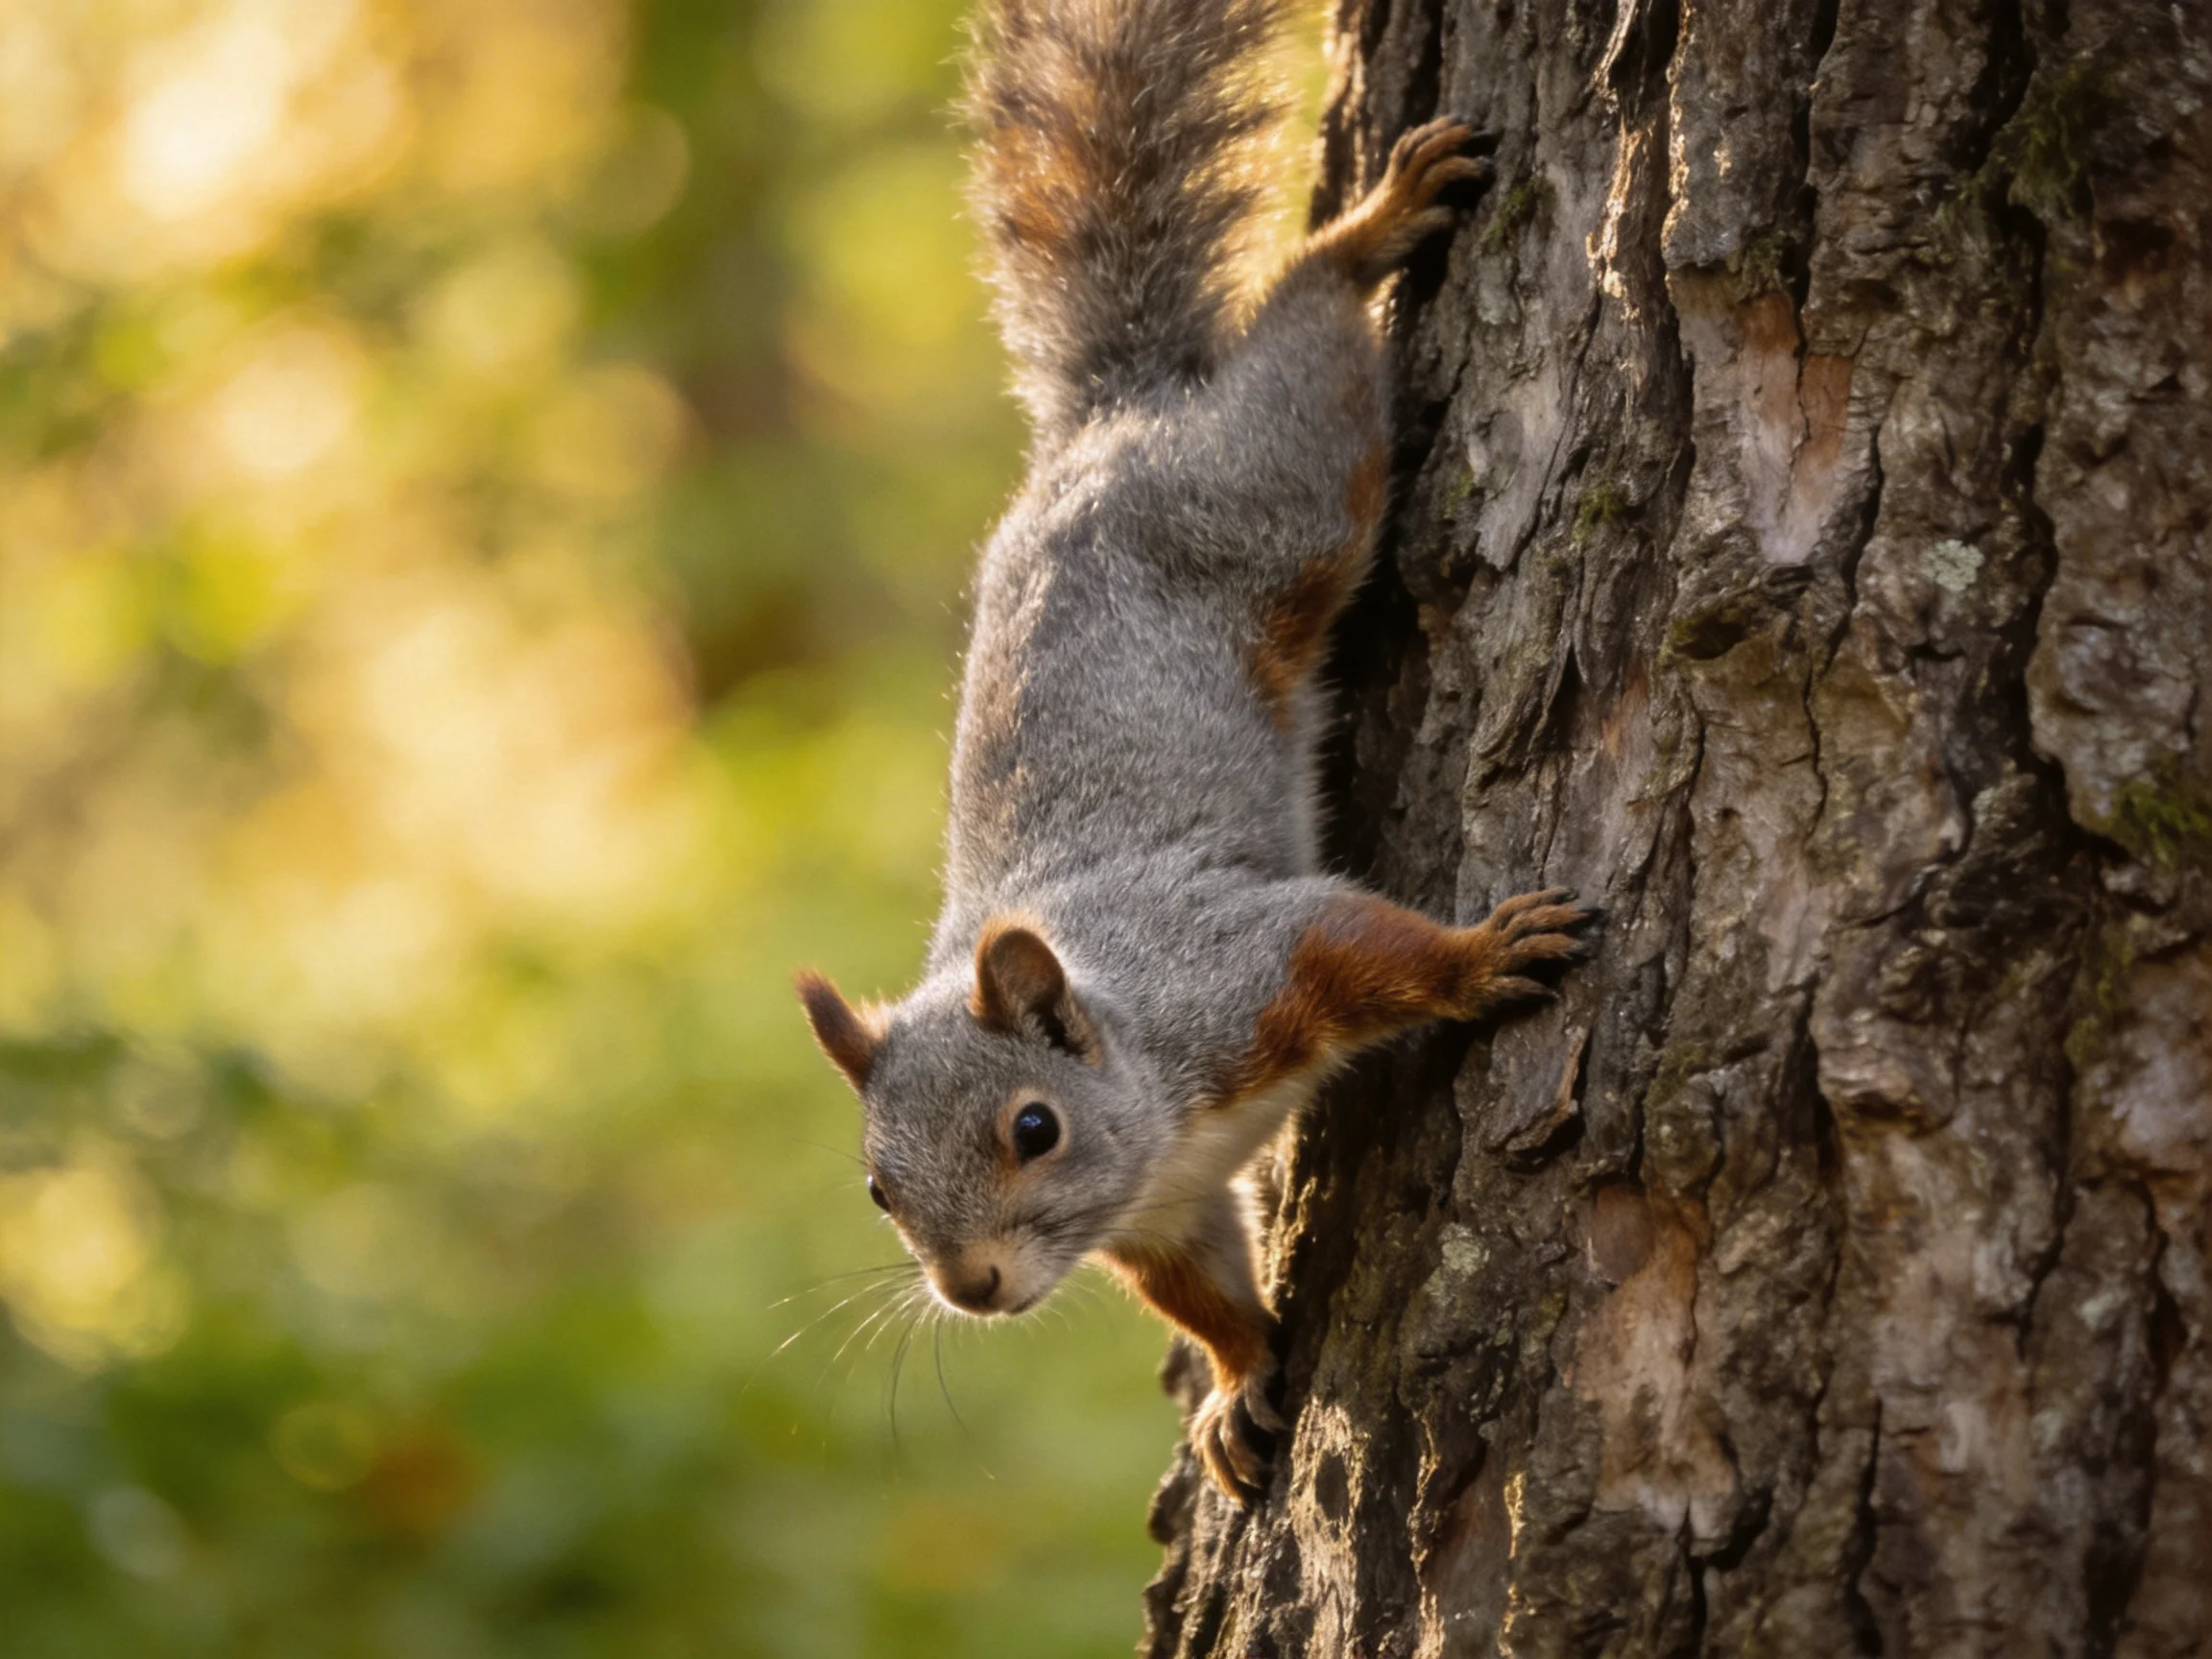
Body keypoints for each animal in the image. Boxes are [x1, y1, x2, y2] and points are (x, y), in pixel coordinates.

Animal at [795, 0, 1591, 1503]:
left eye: (1032, 1129)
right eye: (875, 1186)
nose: (973, 1287)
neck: (1150, 1110)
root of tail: (1106, 418)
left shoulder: (1240, 962)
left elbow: (1367, 940)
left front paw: (1482, 958)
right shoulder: (1165, 1219)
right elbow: (1205, 1293)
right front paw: (1239, 1381)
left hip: (1280, 496)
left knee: (1309, 348)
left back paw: (1369, 228)